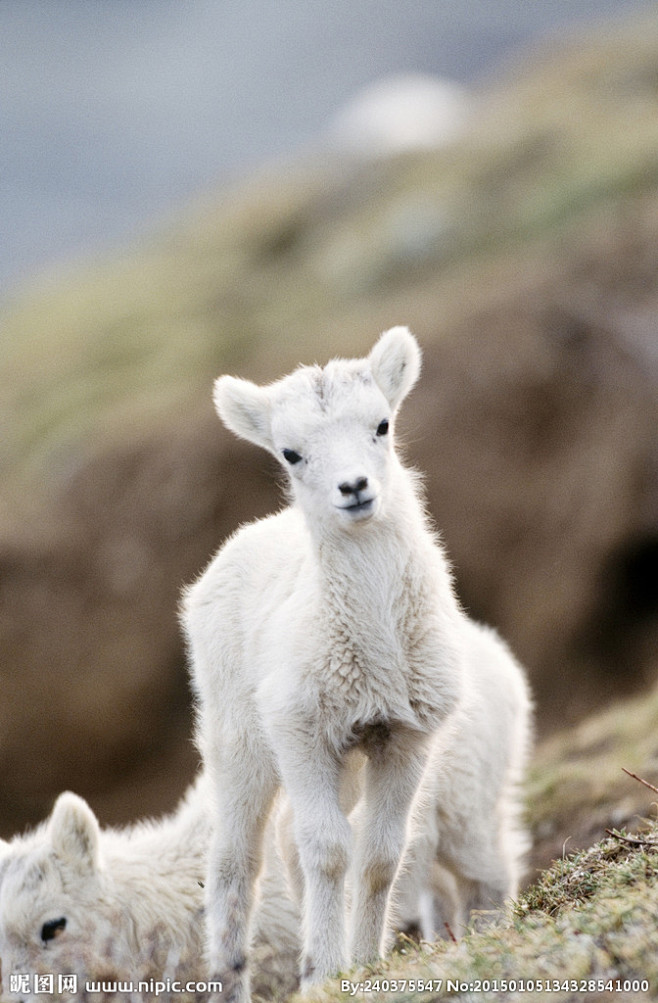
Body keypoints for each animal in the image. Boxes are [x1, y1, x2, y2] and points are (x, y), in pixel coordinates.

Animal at [182, 324, 533, 998]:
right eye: (291, 453)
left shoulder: (403, 738)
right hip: (239, 739)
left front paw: (364, 962)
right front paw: (326, 972)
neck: (374, 645)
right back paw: (233, 978)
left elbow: (378, 858)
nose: (353, 489)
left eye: (382, 425)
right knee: (238, 862)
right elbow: (327, 853)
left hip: (345, 762)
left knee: (289, 843)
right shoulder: (302, 733)